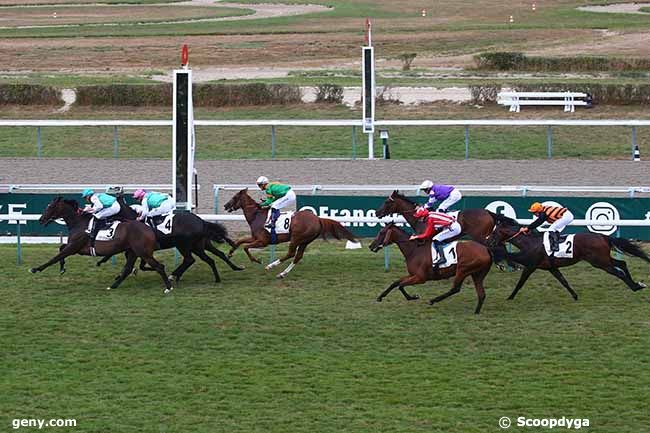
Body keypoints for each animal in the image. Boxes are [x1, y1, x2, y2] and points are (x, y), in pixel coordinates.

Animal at [29, 199, 172, 294]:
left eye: (50, 207)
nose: (40, 219)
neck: (79, 223)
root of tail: (149, 229)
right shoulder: (76, 247)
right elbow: (60, 248)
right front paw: (62, 268)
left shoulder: (74, 247)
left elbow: (56, 257)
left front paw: (36, 269)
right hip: (133, 252)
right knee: (128, 269)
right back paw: (113, 286)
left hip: (143, 252)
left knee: (159, 266)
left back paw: (168, 287)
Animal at [223, 187, 354, 278]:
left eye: (234, 197)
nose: (225, 205)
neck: (257, 216)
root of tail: (317, 218)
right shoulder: (255, 238)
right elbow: (240, 241)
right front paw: (230, 253)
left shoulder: (263, 241)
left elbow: (245, 247)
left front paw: (257, 260)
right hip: (305, 241)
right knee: (298, 256)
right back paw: (282, 273)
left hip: (296, 238)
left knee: (291, 253)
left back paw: (271, 265)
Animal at [486, 213, 648, 300]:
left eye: (494, 232)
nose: (488, 241)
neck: (530, 242)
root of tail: (603, 236)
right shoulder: (551, 267)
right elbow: (563, 281)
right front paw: (575, 295)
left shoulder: (531, 265)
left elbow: (520, 282)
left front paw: (510, 297)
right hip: (603, 259)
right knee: (622, 264)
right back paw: (638, 284)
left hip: (600, 262)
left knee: (618, 272)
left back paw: (635, 287)